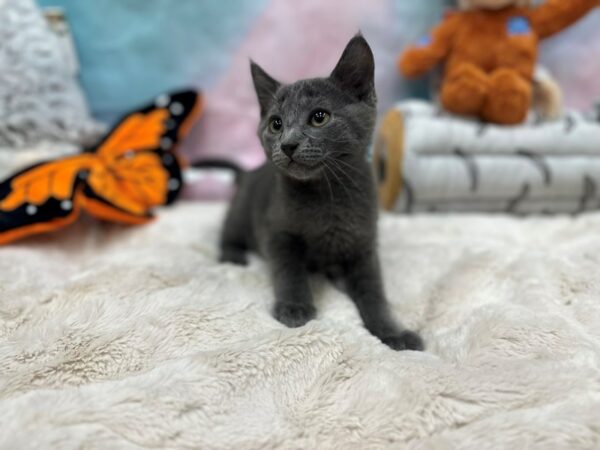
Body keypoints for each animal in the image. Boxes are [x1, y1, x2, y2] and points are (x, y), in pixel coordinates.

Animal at [219, 35, 422, 352]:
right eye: (276, 123)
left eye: (319, 117)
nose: (288, 144)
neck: (327, 195)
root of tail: (249, 173)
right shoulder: (278, 232)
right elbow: (290, 270)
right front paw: (294, 307)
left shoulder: (364, 243)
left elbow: (373, 290)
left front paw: (393, 332)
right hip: (240, 213)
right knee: (228, 234)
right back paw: (233, 256)